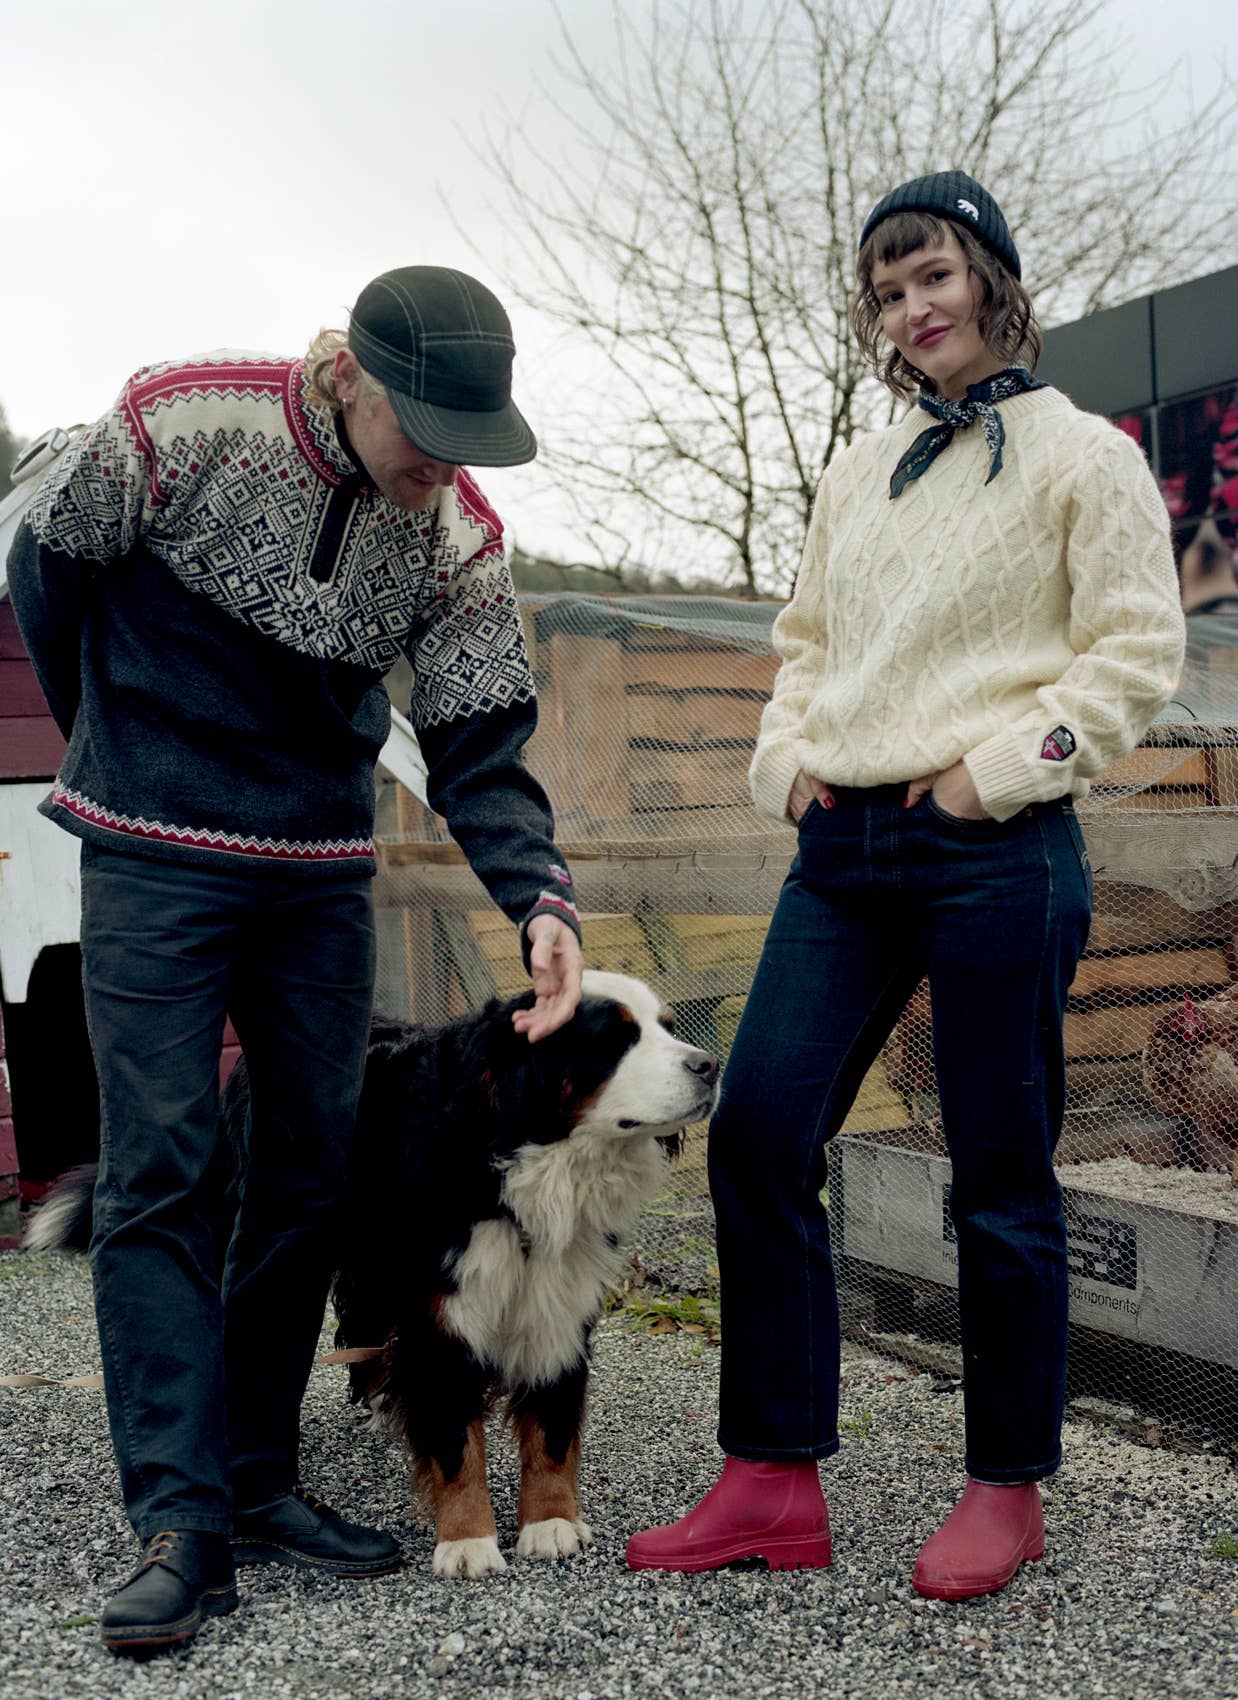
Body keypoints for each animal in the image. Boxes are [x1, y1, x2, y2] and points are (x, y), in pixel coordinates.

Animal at [26, 972, 714, 1577]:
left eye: (666, 1025)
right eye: (615, 1040)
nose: (708, 1064)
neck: (525, 1171)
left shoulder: (558, 1301)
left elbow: (552, 1426)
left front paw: (550, 1525)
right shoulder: (441, 1316)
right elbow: (455, 1440)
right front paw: (468, 1542)